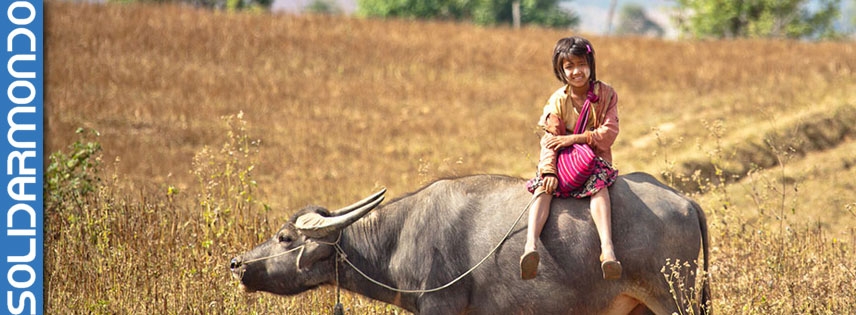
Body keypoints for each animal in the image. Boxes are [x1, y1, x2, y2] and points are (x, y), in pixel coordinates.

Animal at [231, 174, 712, 314]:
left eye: (285, 237)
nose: (236, 263)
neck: (399, 238)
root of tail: (685, 201)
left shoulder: (438, 307)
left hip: (674, 299)